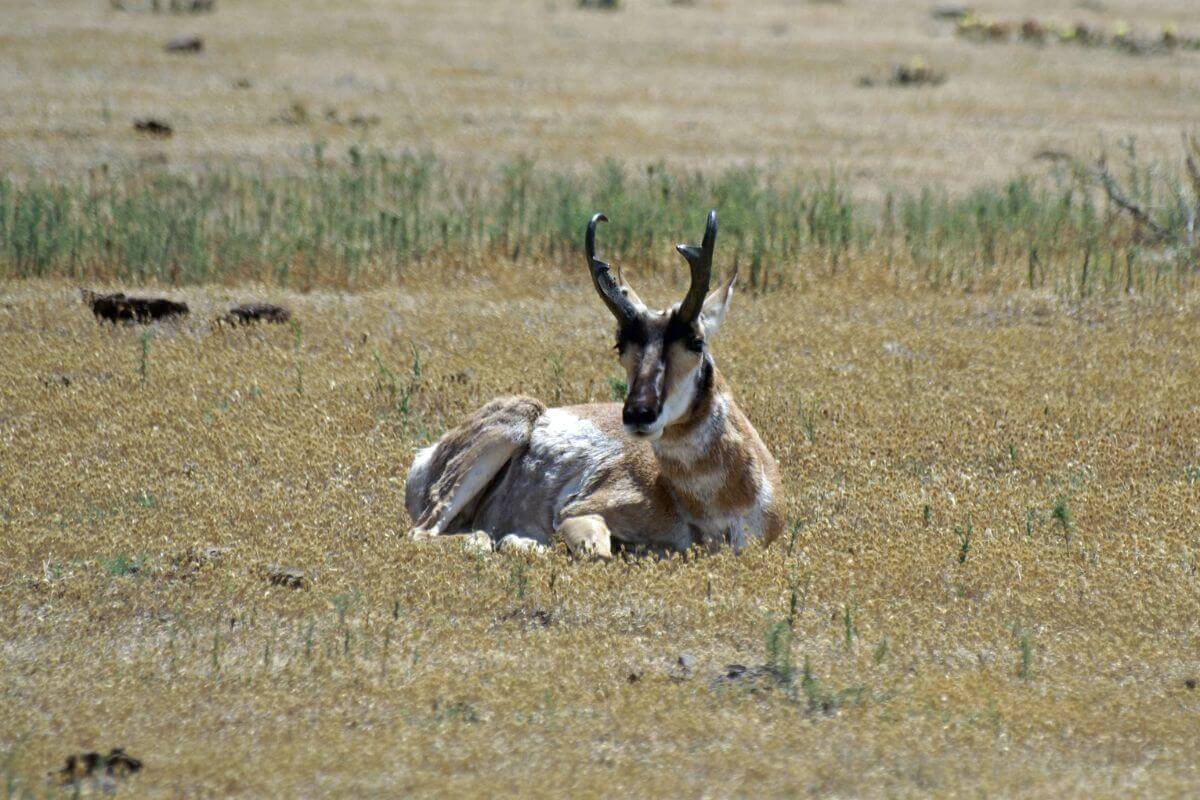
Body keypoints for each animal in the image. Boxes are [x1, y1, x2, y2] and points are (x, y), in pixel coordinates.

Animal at [404, 211, 782, 558]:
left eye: (696, 341)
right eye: (620, 344)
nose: (638, 414)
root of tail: (427, 453)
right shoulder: (576, 512)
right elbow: (597, 551)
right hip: (510, 426)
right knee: (431, 534)